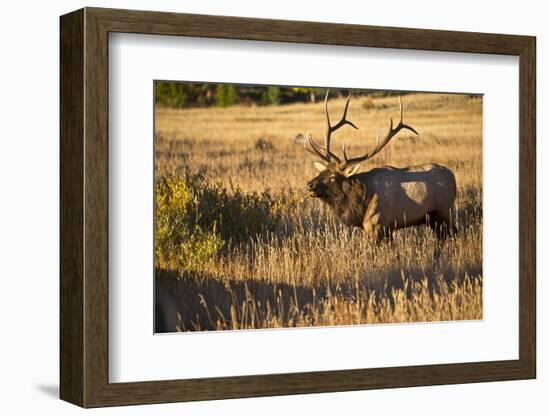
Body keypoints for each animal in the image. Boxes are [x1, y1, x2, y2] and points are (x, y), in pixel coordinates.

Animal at [308, 91, 460, 240]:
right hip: (432, 218)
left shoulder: (378, 225)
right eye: (322, 172)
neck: (360, 204)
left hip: (445, 210)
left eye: (333, 176)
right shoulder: (386, 229)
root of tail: (452, 175)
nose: (309, 185)